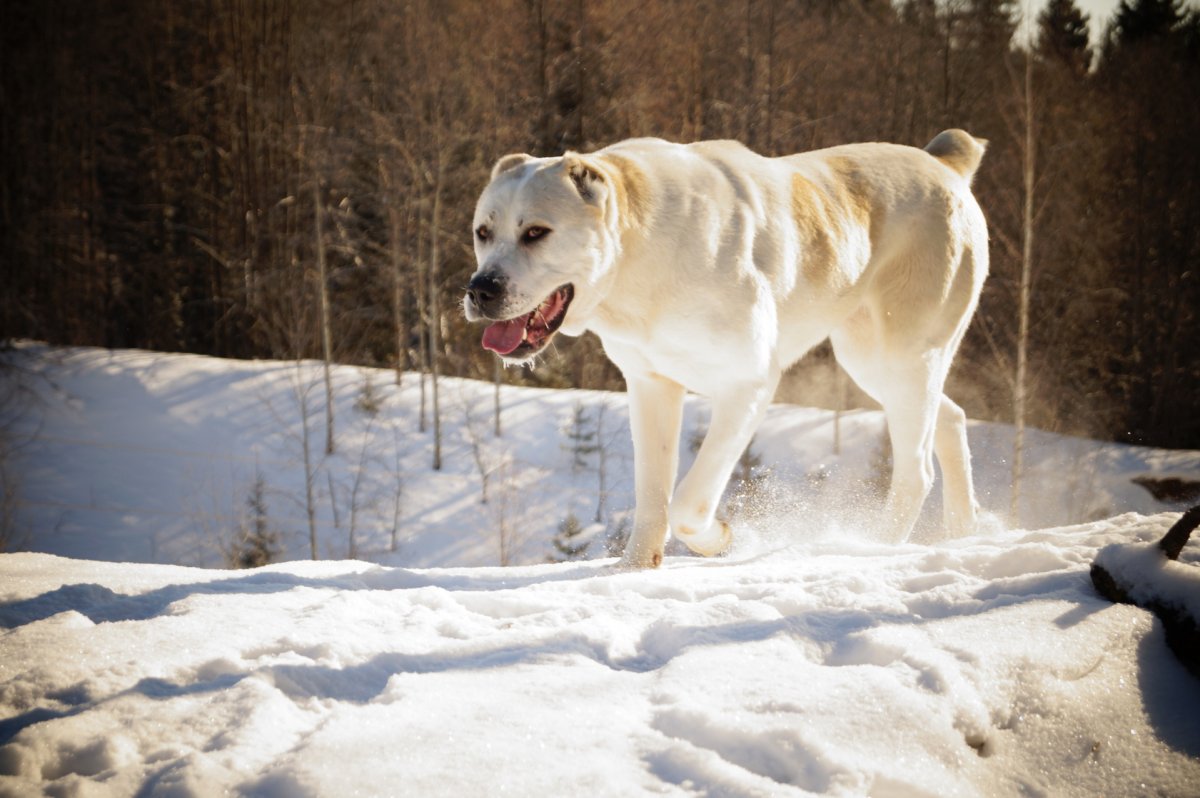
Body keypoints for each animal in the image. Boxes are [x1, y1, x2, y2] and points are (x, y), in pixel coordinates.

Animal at [463, 130, 988, 566]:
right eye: (482, 233)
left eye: (536, 232)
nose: (481, 289)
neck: (639, 257)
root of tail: (943, 163)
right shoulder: (651, 385)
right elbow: (653, 494)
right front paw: (634, 569)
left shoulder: (747, 384)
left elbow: (687, 502)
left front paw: (723, 538)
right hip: (874, 361)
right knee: (951, 419)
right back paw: (963, 531)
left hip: (902, 356)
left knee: (917, 469)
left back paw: (873, 547)